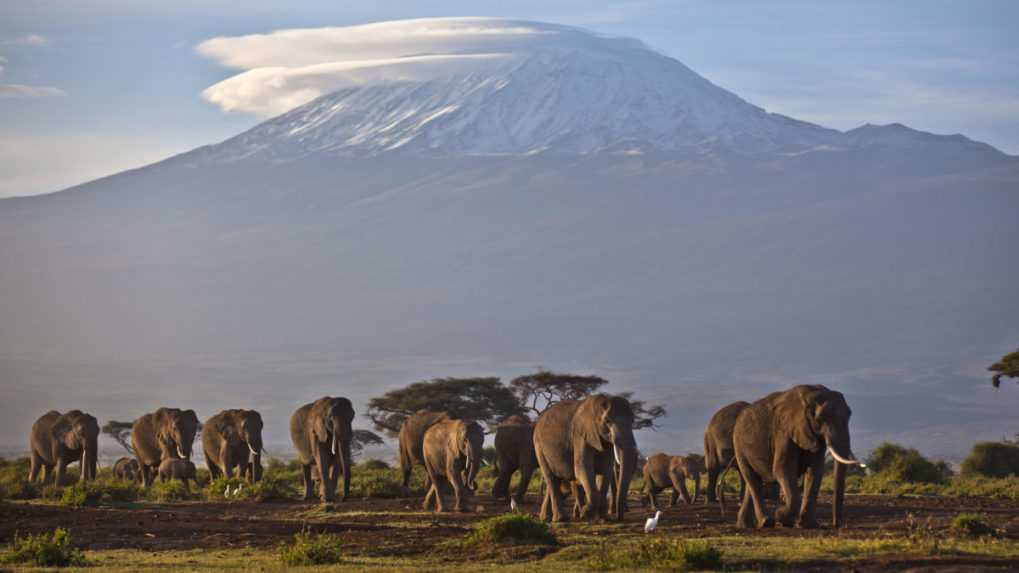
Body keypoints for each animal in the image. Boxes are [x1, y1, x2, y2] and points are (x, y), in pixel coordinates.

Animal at [533, 391, 635, 522]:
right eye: (607, 421)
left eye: (632, 422)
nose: (618, 518)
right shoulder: (580, 435)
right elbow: (582, 468)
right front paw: (585, 514)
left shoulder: (603, 441)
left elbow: (605, 471)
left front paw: (603, 518)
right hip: (539, 447)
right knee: (551, 478)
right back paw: (561, 519)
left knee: (556, 479)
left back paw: (545, 518)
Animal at [729, 383, 864, 526]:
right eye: (821, 418)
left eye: (849, 415)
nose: (835, 525)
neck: (811, 394)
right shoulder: (784, 431)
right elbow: (783, 468)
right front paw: (781, 516)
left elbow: (815, 471)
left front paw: (808, 525)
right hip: (739, 445)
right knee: (752, 480)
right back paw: (766, 522)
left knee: (753, 483)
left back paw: (746, 524)